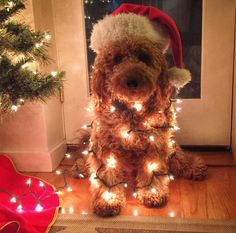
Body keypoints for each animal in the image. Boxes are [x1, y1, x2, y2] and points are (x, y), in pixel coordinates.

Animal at [82, 3, 206, 217]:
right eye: (117, 59)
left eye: (143, 57)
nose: (132, 81)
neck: (133, 110)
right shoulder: (105, 148)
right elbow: (107, 174)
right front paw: (108, 200)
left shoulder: (155, 144)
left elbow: (152, 170)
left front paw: (152, 193)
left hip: (170, 145)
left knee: (179, 158)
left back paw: (194, 166)